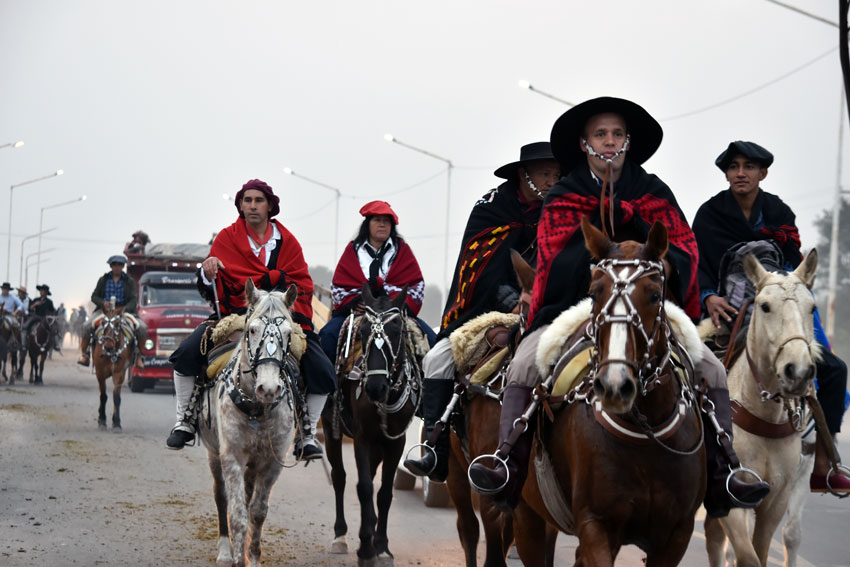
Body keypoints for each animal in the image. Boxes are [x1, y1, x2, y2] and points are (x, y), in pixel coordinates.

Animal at [200, 280, 300, 567]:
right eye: (253, 330)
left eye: (288, 333)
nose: (269, 388)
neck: (257, 410)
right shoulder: (231, 456)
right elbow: (237, 513)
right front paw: (236, 558)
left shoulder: (271, 463)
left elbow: (256, 512)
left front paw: (252, 556)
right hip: (214, 454)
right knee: (221, 496)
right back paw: (225, 549)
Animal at [320, 286, 422, 567]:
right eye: (363, 332)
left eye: (397, 331)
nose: (375, 387)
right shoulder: (362, 438)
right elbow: (364, 488)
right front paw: (366, 547)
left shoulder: (395, 442)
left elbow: (384, 494)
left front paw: (382, 546)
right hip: (332, 431)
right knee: (340, 477)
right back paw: (340, 536)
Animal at [510, 219, 704, 567]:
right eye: (594, 292)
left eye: (655, 295)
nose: (615, 385)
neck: (646, 432)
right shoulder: (595, 523)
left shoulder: (677, 533)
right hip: (526, 514)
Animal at [700, 252, 820, 567]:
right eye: (765, 306)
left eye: (812, 307)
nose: (798, 371)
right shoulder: (733, 494)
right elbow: (747, 557)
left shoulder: (777, 499)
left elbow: (763, 551)